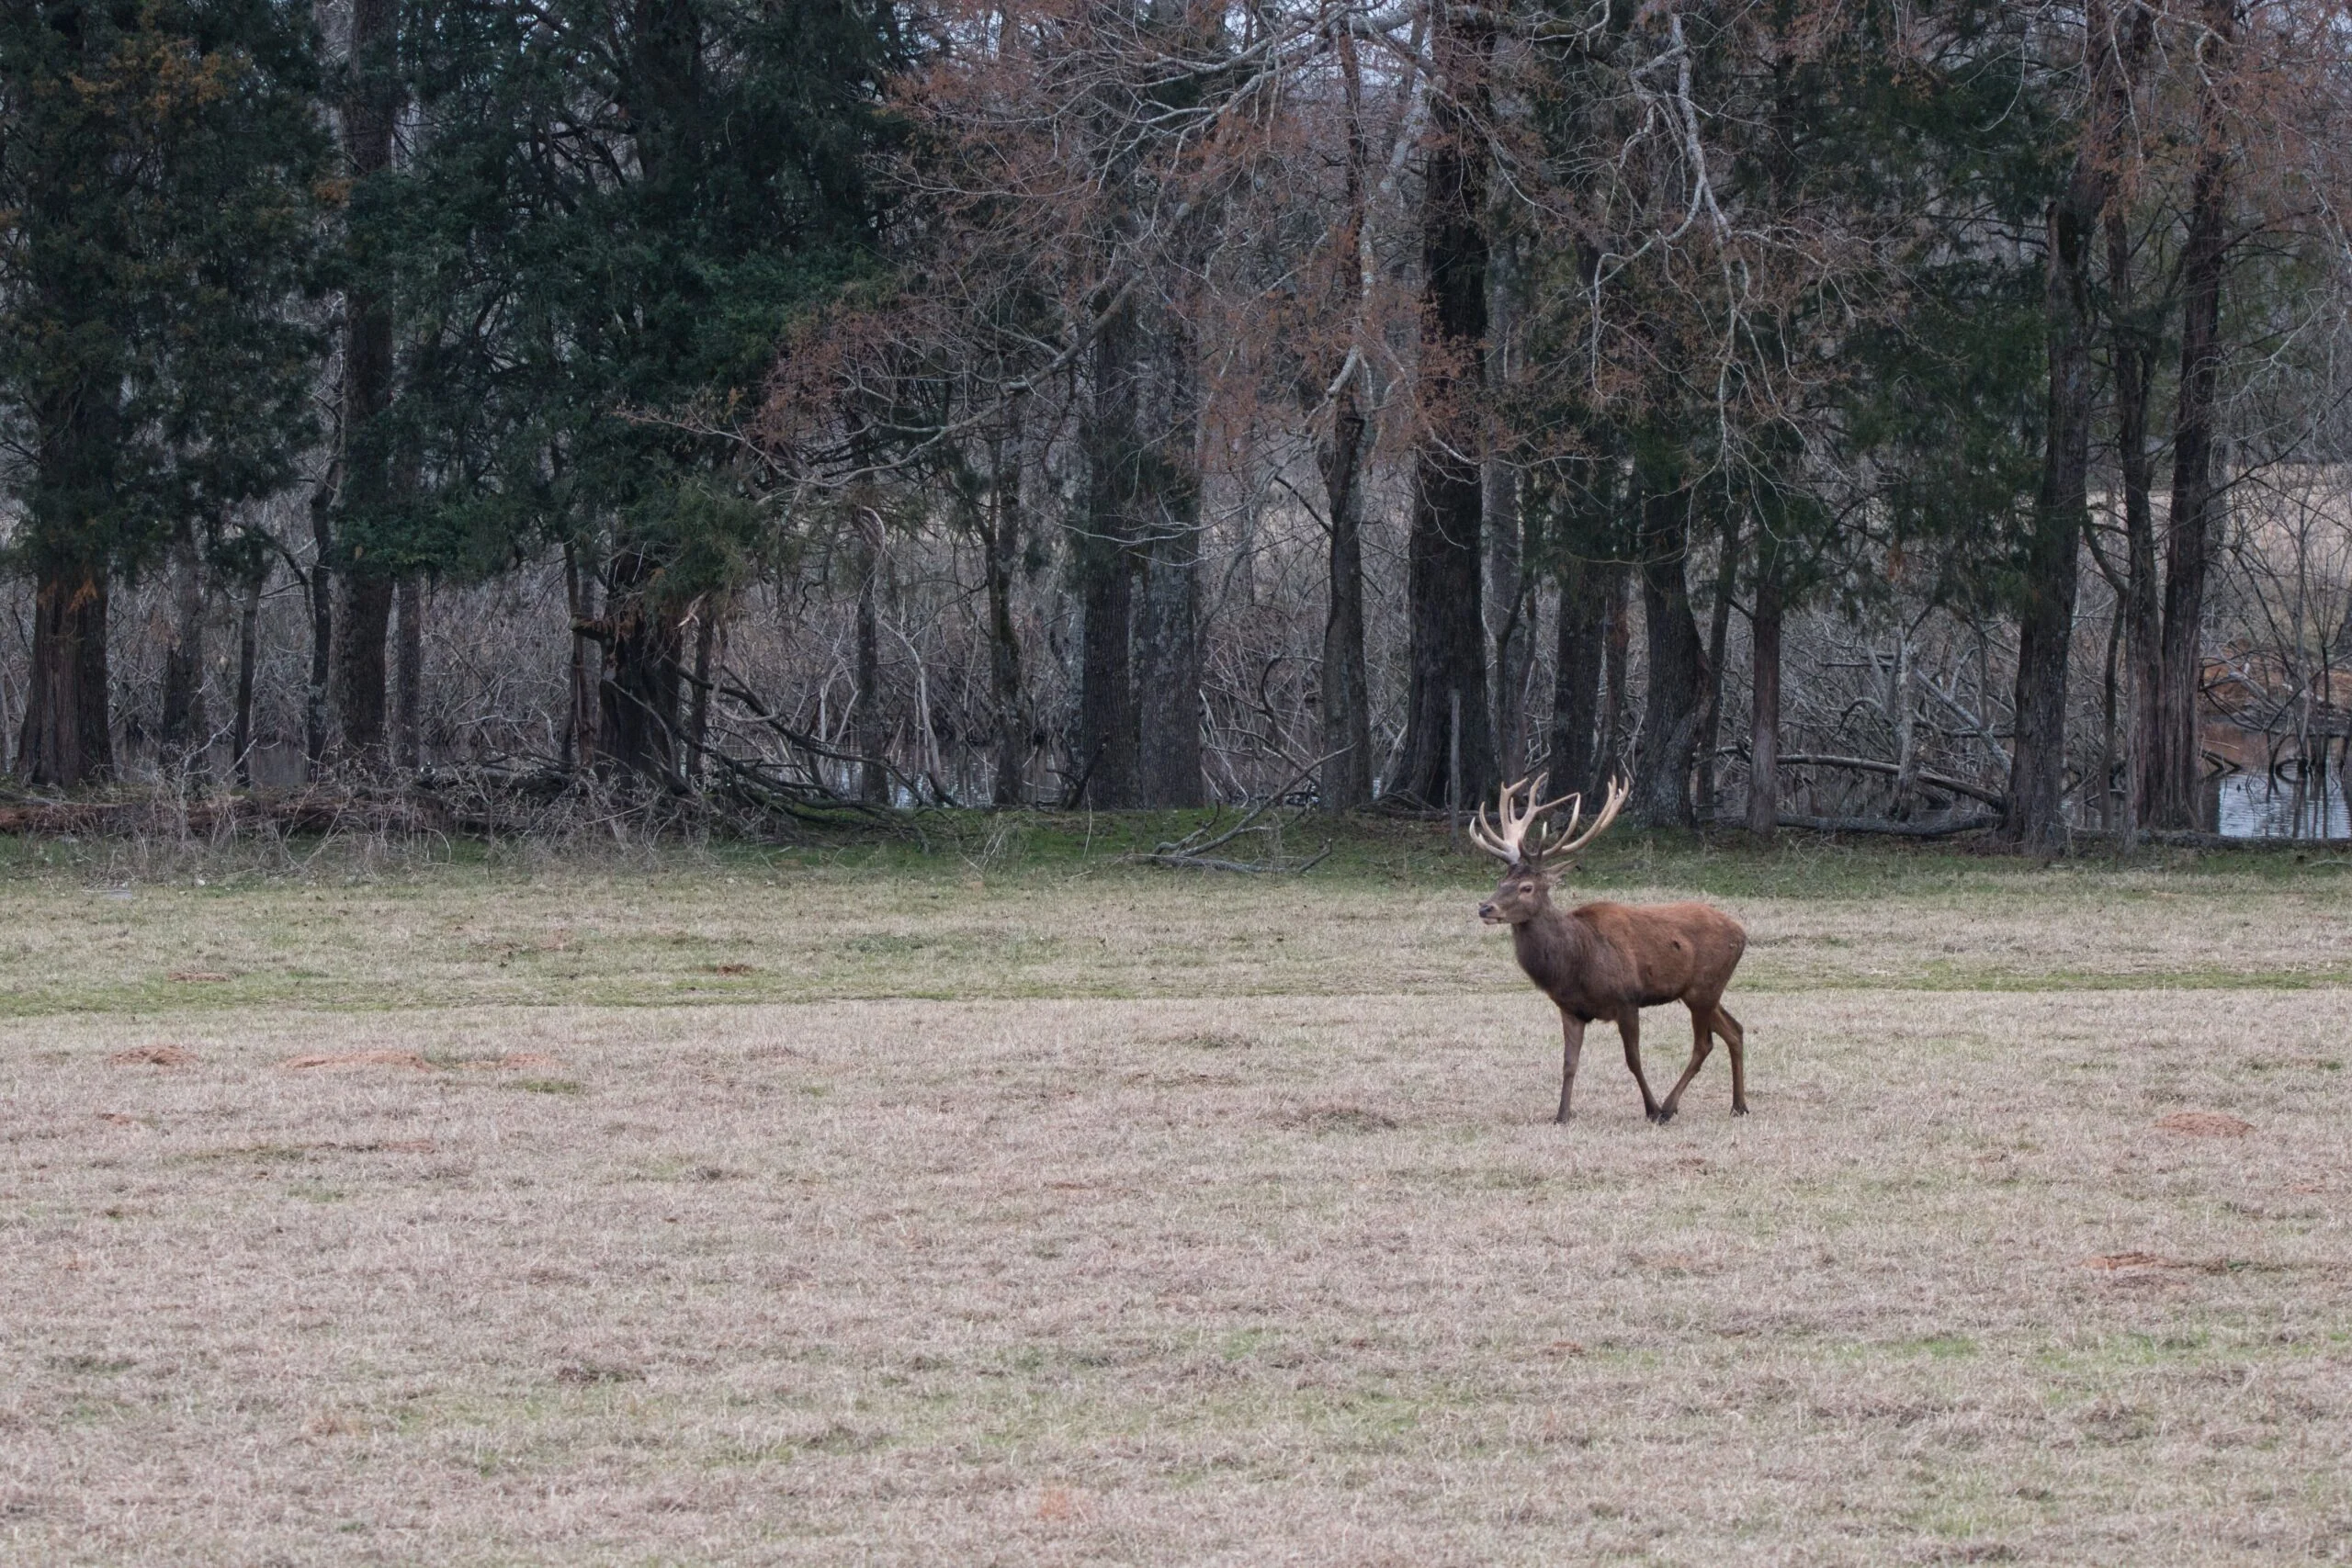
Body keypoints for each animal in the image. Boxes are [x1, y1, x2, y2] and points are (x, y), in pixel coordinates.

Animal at [1472, 774, 1749, 1125]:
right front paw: (1561, 1114)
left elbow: (1633, 1060)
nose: (1485, 907)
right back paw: (1738, 1105)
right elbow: (1569, 1063)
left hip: (1704, 987)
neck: (1576, 961)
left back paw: (1668, 1107)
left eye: (1527, 887)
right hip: (1701, 991)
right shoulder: (1570, 1008)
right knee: (1735, 1029)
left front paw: (1650, 1108)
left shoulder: (1627, 999)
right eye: (1500, 881)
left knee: (1704, 1044)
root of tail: (1742, 933)